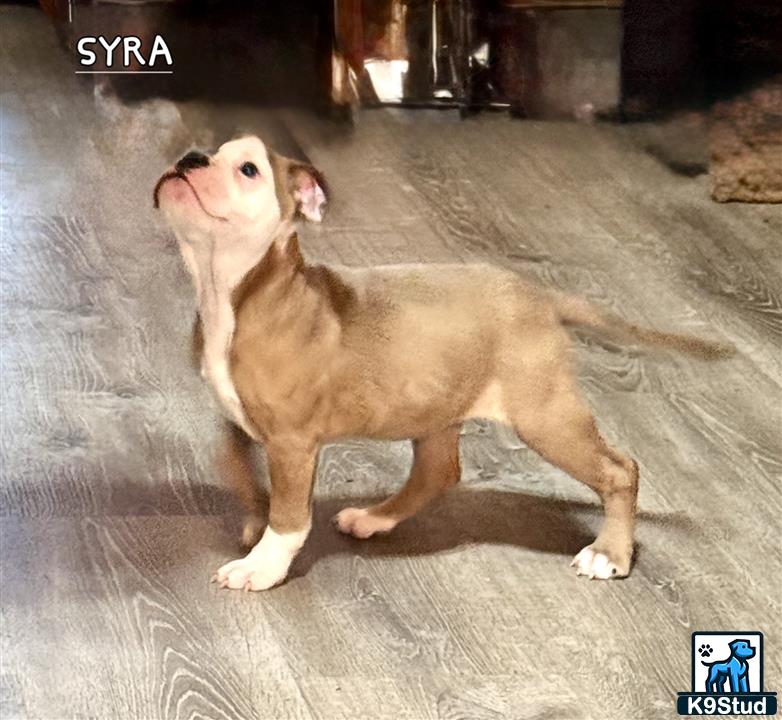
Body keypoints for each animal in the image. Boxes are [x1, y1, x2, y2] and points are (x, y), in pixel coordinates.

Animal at [155, 135, 736, 592]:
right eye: (206, 151)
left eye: (248, 169)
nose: (189, 158)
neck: (235, 288)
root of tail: (539, 296)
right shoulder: (241, 419)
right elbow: (234, 465)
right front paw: (253, 519)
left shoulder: (294, 443)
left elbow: (291, 515)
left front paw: (262, 565)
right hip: (436, 407)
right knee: (439, 470)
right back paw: (375, 517)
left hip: (545, 415)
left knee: (619, 470)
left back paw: (609, 553)